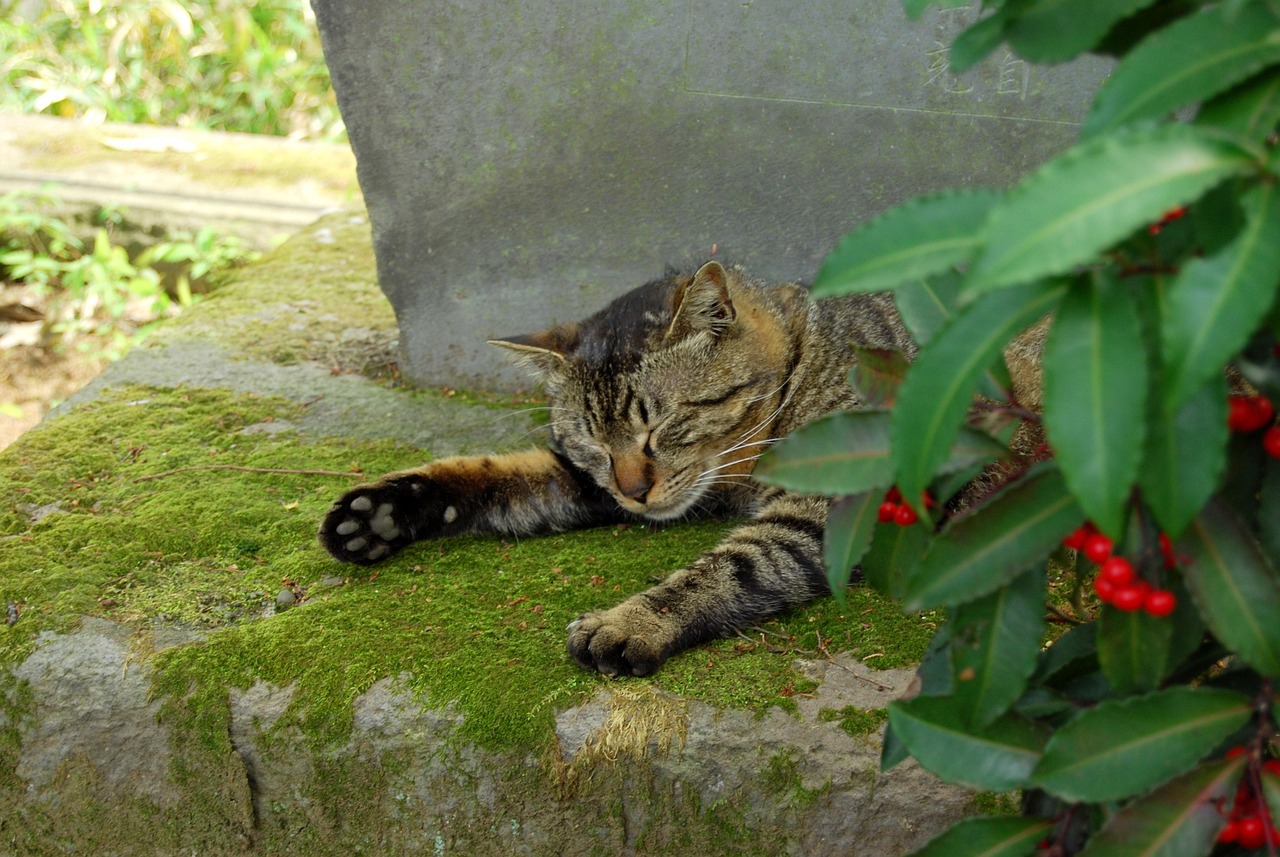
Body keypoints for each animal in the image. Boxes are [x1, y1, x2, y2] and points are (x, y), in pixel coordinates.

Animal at [322, 262, 921, 680]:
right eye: (593, 443)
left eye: (660, 426)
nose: (634, 492)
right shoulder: (585, 481)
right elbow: (495, 473)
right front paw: (379, 512)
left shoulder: (837, 503)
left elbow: (735, 565)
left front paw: (631, 621)